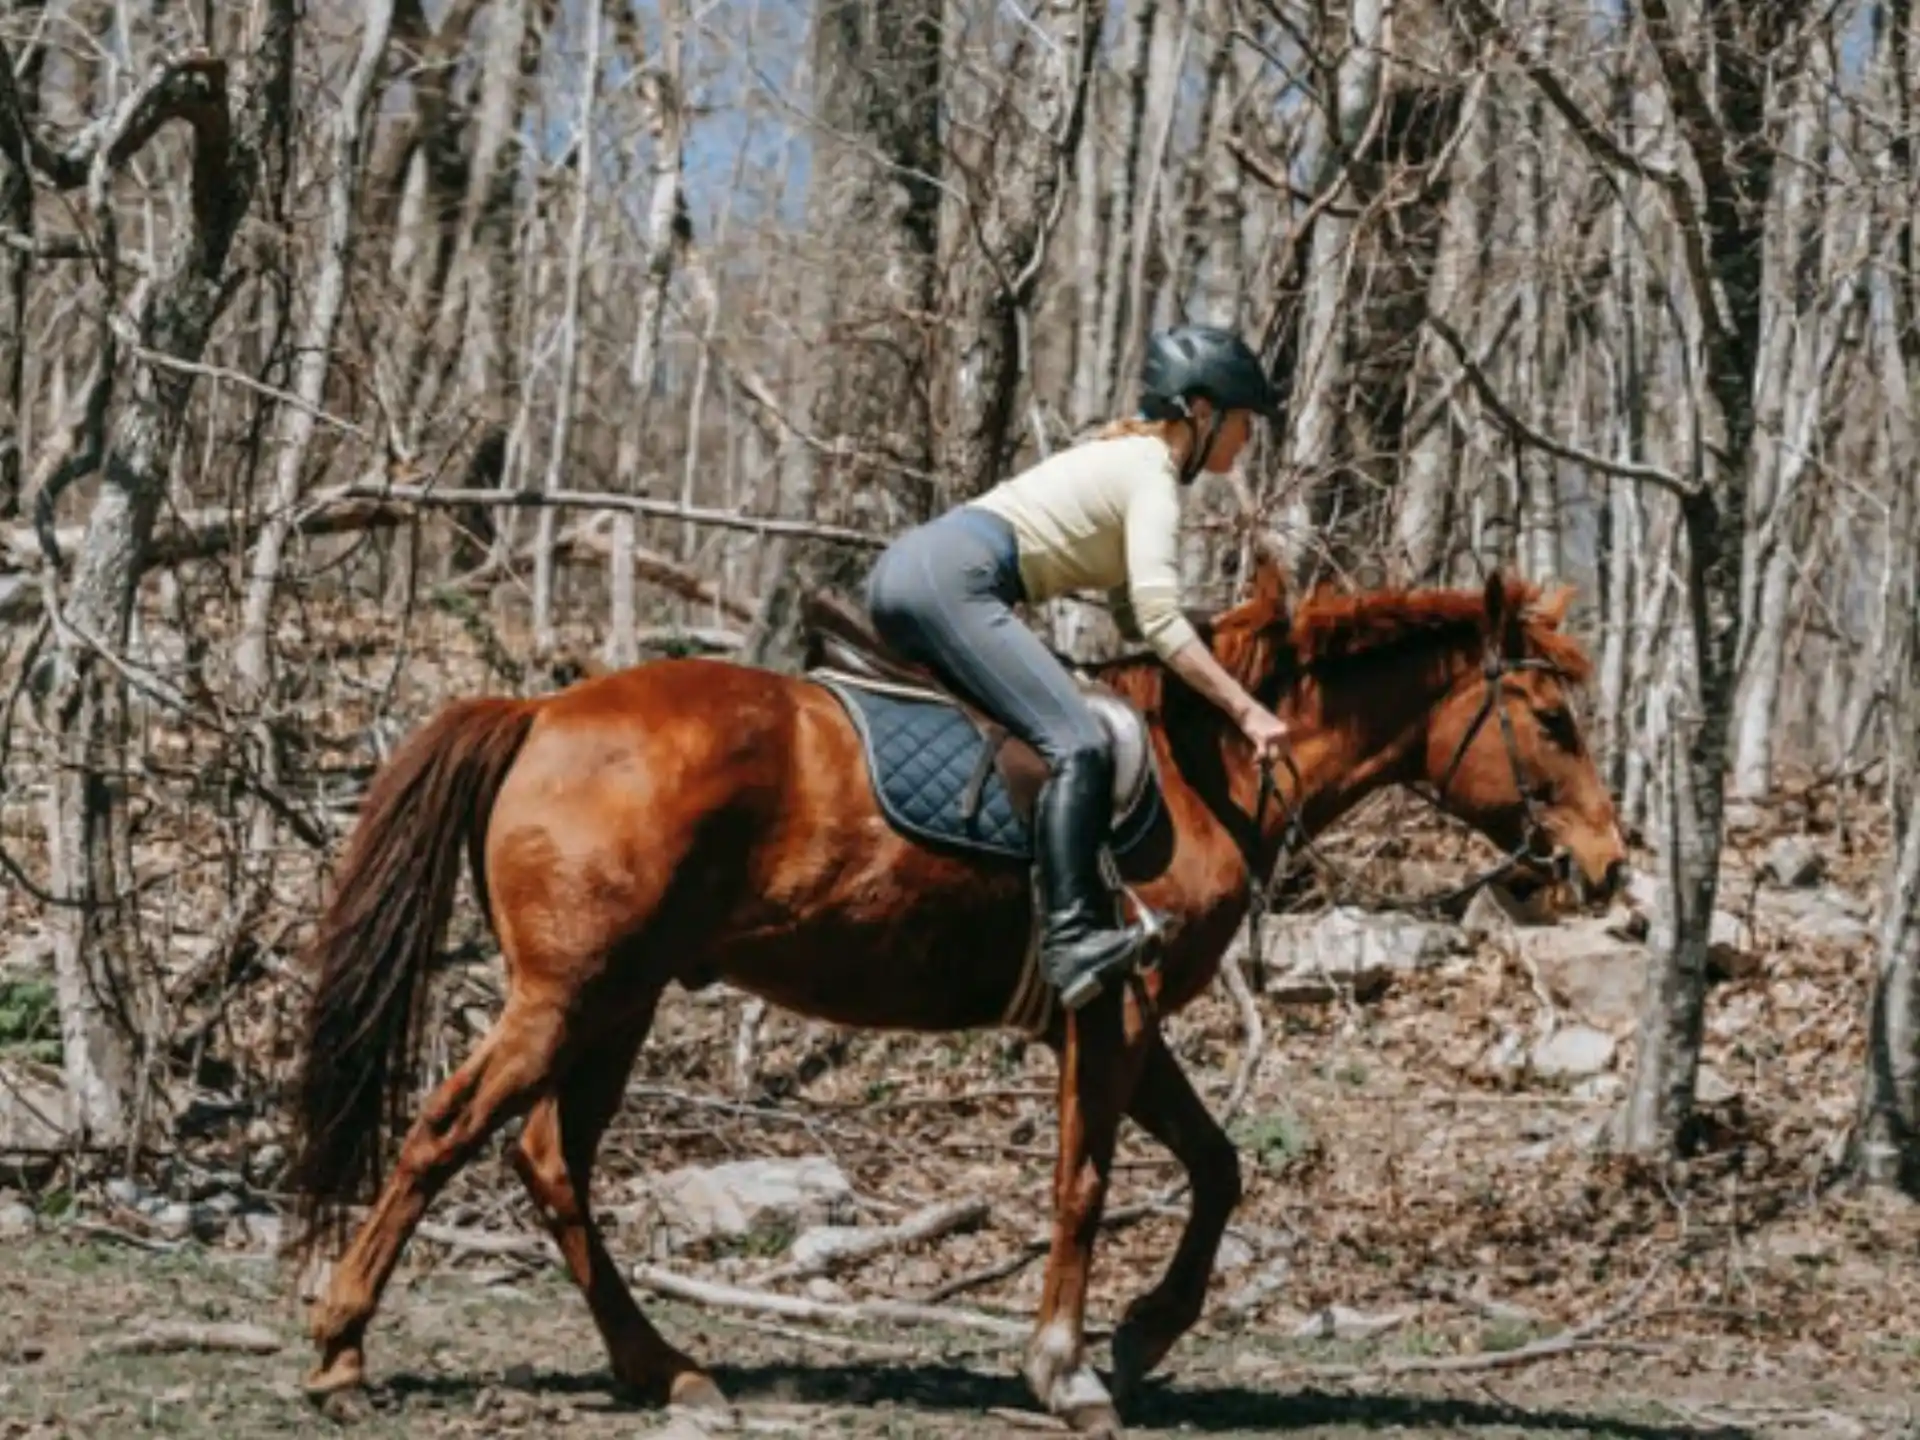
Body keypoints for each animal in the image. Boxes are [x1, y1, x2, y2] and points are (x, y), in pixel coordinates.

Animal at [284, 557, 1628, 1437]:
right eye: (1550, 719)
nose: (1611, 868)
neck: (1201, 770)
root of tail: (539, 709)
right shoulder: (1110, 1015)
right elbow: (1087, 1184)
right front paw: (1067, 1368)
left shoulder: (1132, 1021)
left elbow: (1217, 1167)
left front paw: (1143, 1337)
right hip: (570, 997)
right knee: (447, 1132)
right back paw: (342, 1349)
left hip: (623, 1000)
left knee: (549, 1158)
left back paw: (665, 1370)